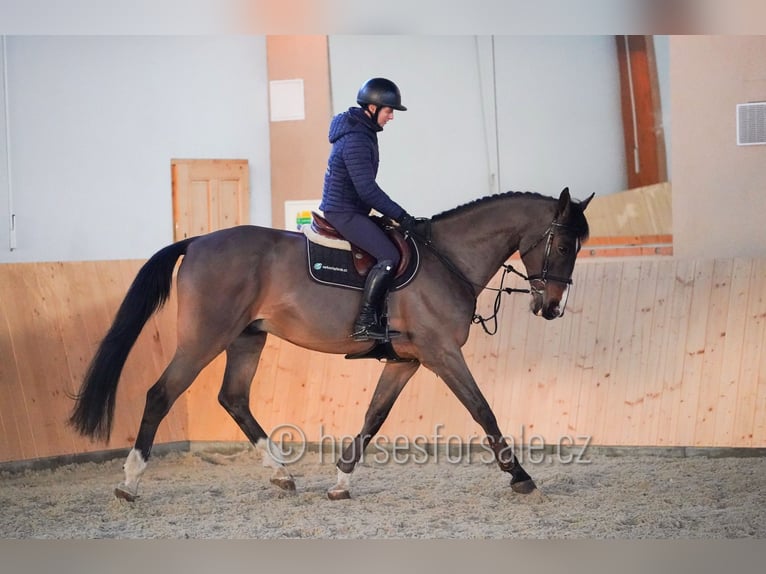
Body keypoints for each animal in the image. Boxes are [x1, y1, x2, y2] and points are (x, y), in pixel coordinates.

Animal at [69, 187, 593, 501]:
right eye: (563, 245)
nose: (552, 307)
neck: (448, 259)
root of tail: (196, 241)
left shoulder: (407, 360)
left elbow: (374, 417)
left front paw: (341, 481)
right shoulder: (443, 354)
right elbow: (483, 410)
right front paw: (521, 477)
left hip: (246, 338)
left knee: (233, 398)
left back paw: (282, 473)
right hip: (205, 337)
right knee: (161, 393)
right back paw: (130, 482)